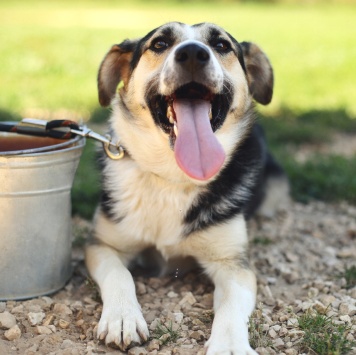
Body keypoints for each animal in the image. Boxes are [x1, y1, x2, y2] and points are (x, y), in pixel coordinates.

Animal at [86, 23, 290, 355]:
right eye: (160, 43)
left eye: (221, 44)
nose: (193, 53)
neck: (173, 177)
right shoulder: (103, 244)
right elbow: (119, 274)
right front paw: (123, 317)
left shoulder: (233, 264)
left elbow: (231, 309)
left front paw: (230, 345)